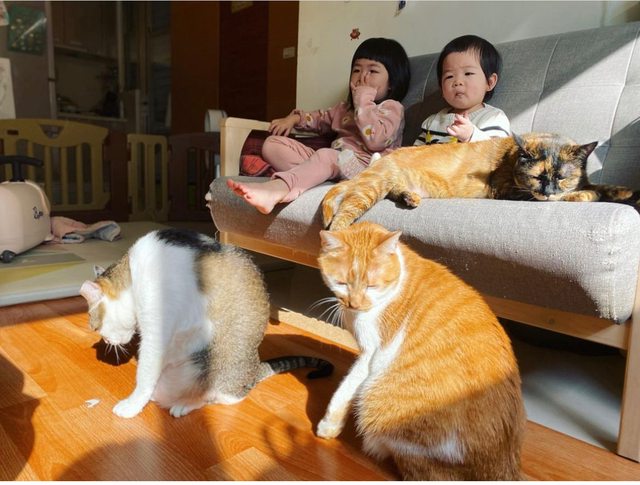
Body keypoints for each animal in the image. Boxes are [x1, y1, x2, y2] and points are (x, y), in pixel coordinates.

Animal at [79, 228, 333, 419]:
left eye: (95, 326)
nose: (105, 341)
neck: (133, 274)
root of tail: (253, 370)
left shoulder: (155, 330)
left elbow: (145, 374)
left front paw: (131, 405)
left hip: (211, 370)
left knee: (217, 398)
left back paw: (183, 405)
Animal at [316, 221, 526, 480]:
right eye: (342, 283)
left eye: (372, 285)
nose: (353, 303)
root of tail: (503, 465)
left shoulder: (370, 355)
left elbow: (343, 392)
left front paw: (328, 426)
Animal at [322, 132, 639, 230]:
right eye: (537, 177)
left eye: (561, 177)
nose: (548, 191)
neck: (512, 159)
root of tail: (380, 159)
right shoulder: (508, 190)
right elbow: (581, 194)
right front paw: (584, 196)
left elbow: (601, 185)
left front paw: (626, 192)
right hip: (370, 189)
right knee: (343, 211)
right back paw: (334, 233)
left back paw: (411, 198)